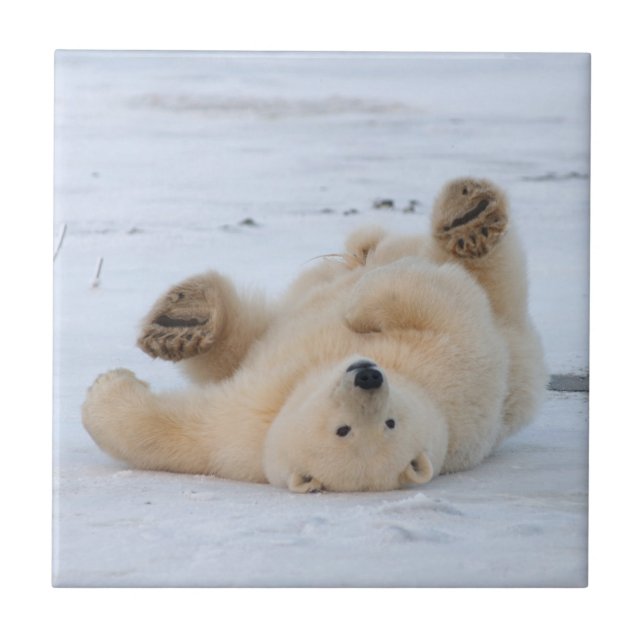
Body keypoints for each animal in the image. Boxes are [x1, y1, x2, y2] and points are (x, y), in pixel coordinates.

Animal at [81, 177, 547, 493]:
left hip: (514, 334)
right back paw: (182, 322)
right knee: (250, 333)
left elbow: (439, 302)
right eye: (343, 430)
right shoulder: (246, 428)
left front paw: (104, 388)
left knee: (490, 276)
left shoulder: (456, 366)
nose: (368, 375)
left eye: (388, 423)